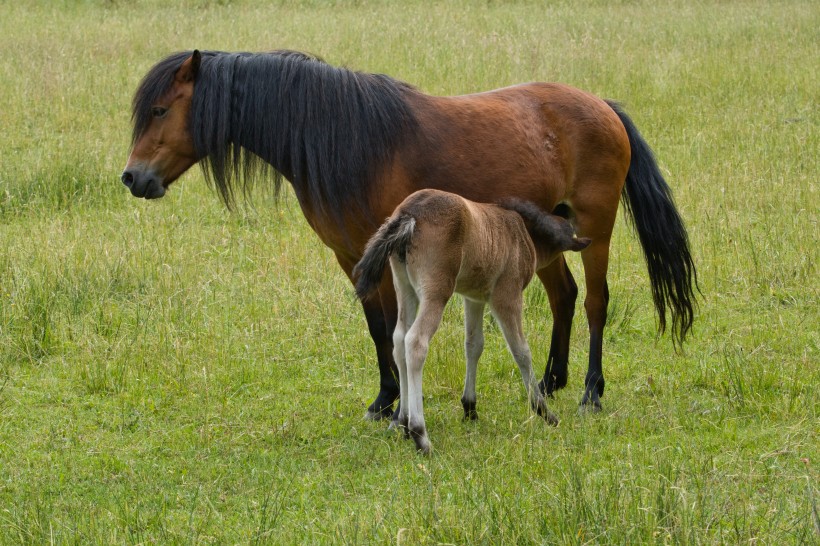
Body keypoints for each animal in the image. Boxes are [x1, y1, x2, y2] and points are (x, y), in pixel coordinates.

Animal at [123, 50, 700, 416]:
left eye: (160, 109)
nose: (132, 177)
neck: (347, 139)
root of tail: (604, 106)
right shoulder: (352, 256)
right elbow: (378, 329)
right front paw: (386, 400)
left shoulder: (381, 254)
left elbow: (392, 328)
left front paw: (394, 401)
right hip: (545, 232)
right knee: (565, 296)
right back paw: (550, 382)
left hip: (594, 229)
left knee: (596, 303)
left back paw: (589, 393)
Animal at [352, 189, 588, 452]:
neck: (521, 232)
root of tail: (408, 214)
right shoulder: (506, 295)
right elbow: (521, 351)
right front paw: (544, 411)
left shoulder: (473, 298)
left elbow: (474, 345)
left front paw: (470, 408)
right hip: (437, 289)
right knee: (415, 341)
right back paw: (420, 434)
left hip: (404, 287)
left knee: (399, 338)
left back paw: (403, 422)